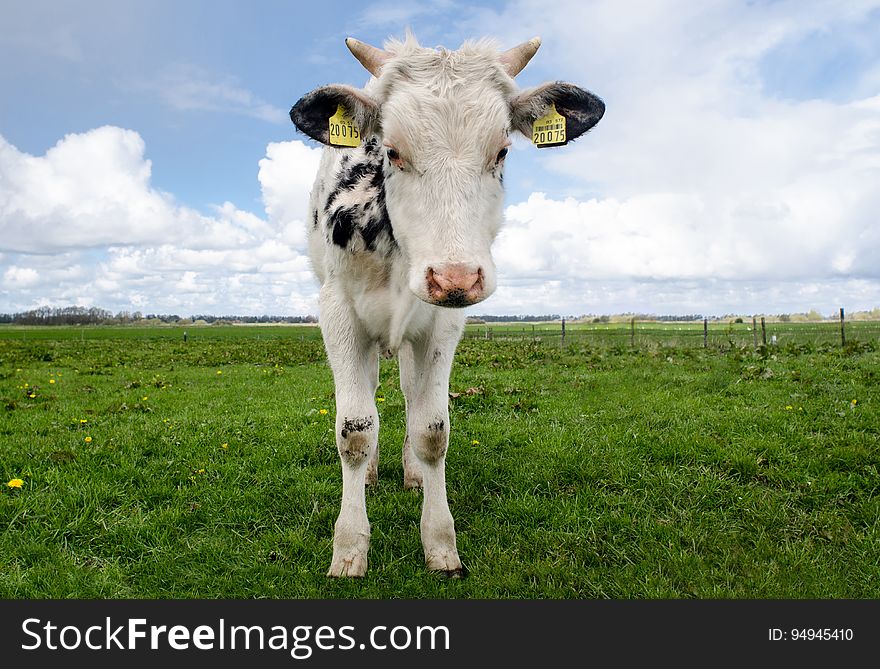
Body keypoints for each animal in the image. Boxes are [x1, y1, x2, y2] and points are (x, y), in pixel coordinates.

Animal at [290, 34, 604, 576]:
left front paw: (440, 543)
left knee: (411, 396)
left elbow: (432, 428)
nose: (455, 276)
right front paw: (349, 547)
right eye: (392, 151)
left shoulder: (444, 320)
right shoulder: (337, 312)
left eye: (502, 151)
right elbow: (354, 430)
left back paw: (413, 473)